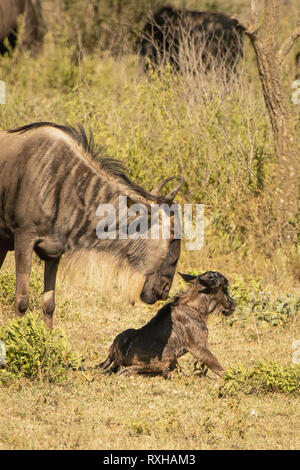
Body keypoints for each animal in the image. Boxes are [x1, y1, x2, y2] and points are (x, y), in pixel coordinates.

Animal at [98, 270, 234, 376]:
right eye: (225, 288)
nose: (233, 303)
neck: (193, 306)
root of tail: (117, 356)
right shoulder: (199, 348)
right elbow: (219, 368)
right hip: (164, 359)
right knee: (129, 370)